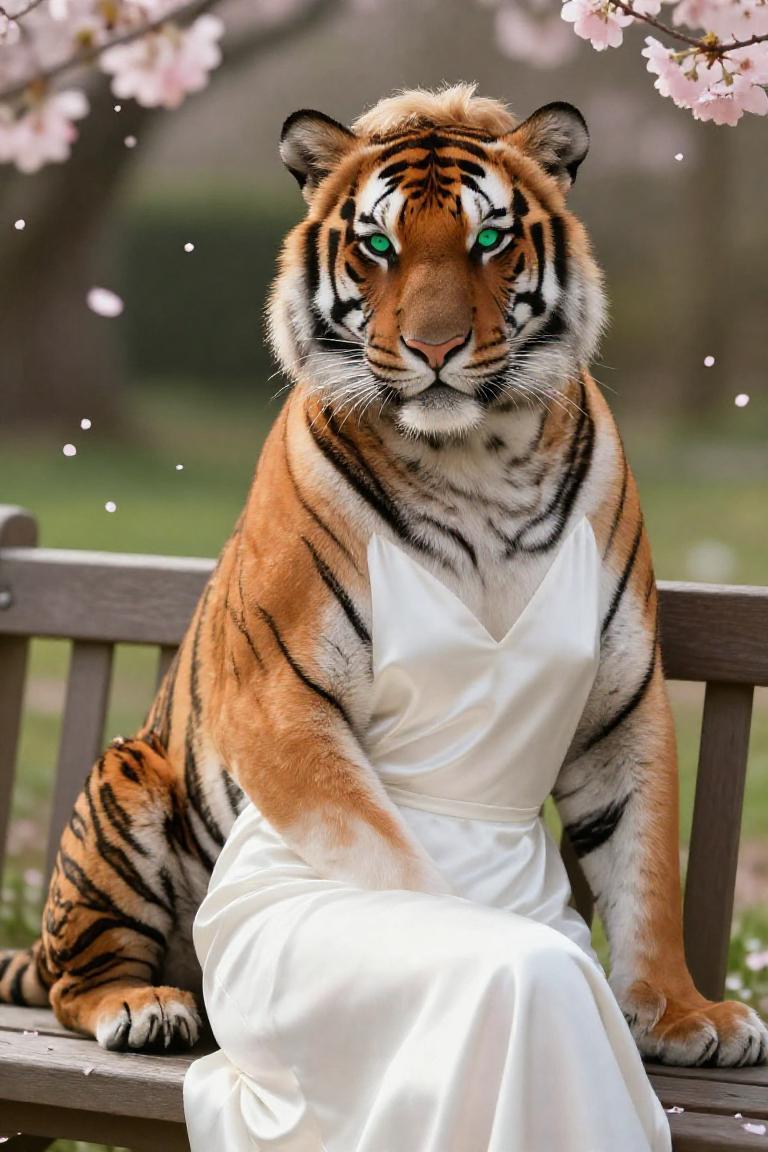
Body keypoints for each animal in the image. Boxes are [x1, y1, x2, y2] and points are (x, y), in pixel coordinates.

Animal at [2, 83, 766, 1067]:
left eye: (490, 238)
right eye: (377, 246)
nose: (436, 348)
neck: (480, 458)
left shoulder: (623, 702)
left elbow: (646, 873)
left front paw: (682, 1013)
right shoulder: (284, 701)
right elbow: (395, 863)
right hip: (124, 780)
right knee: (73, 980)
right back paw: (145, 1005)